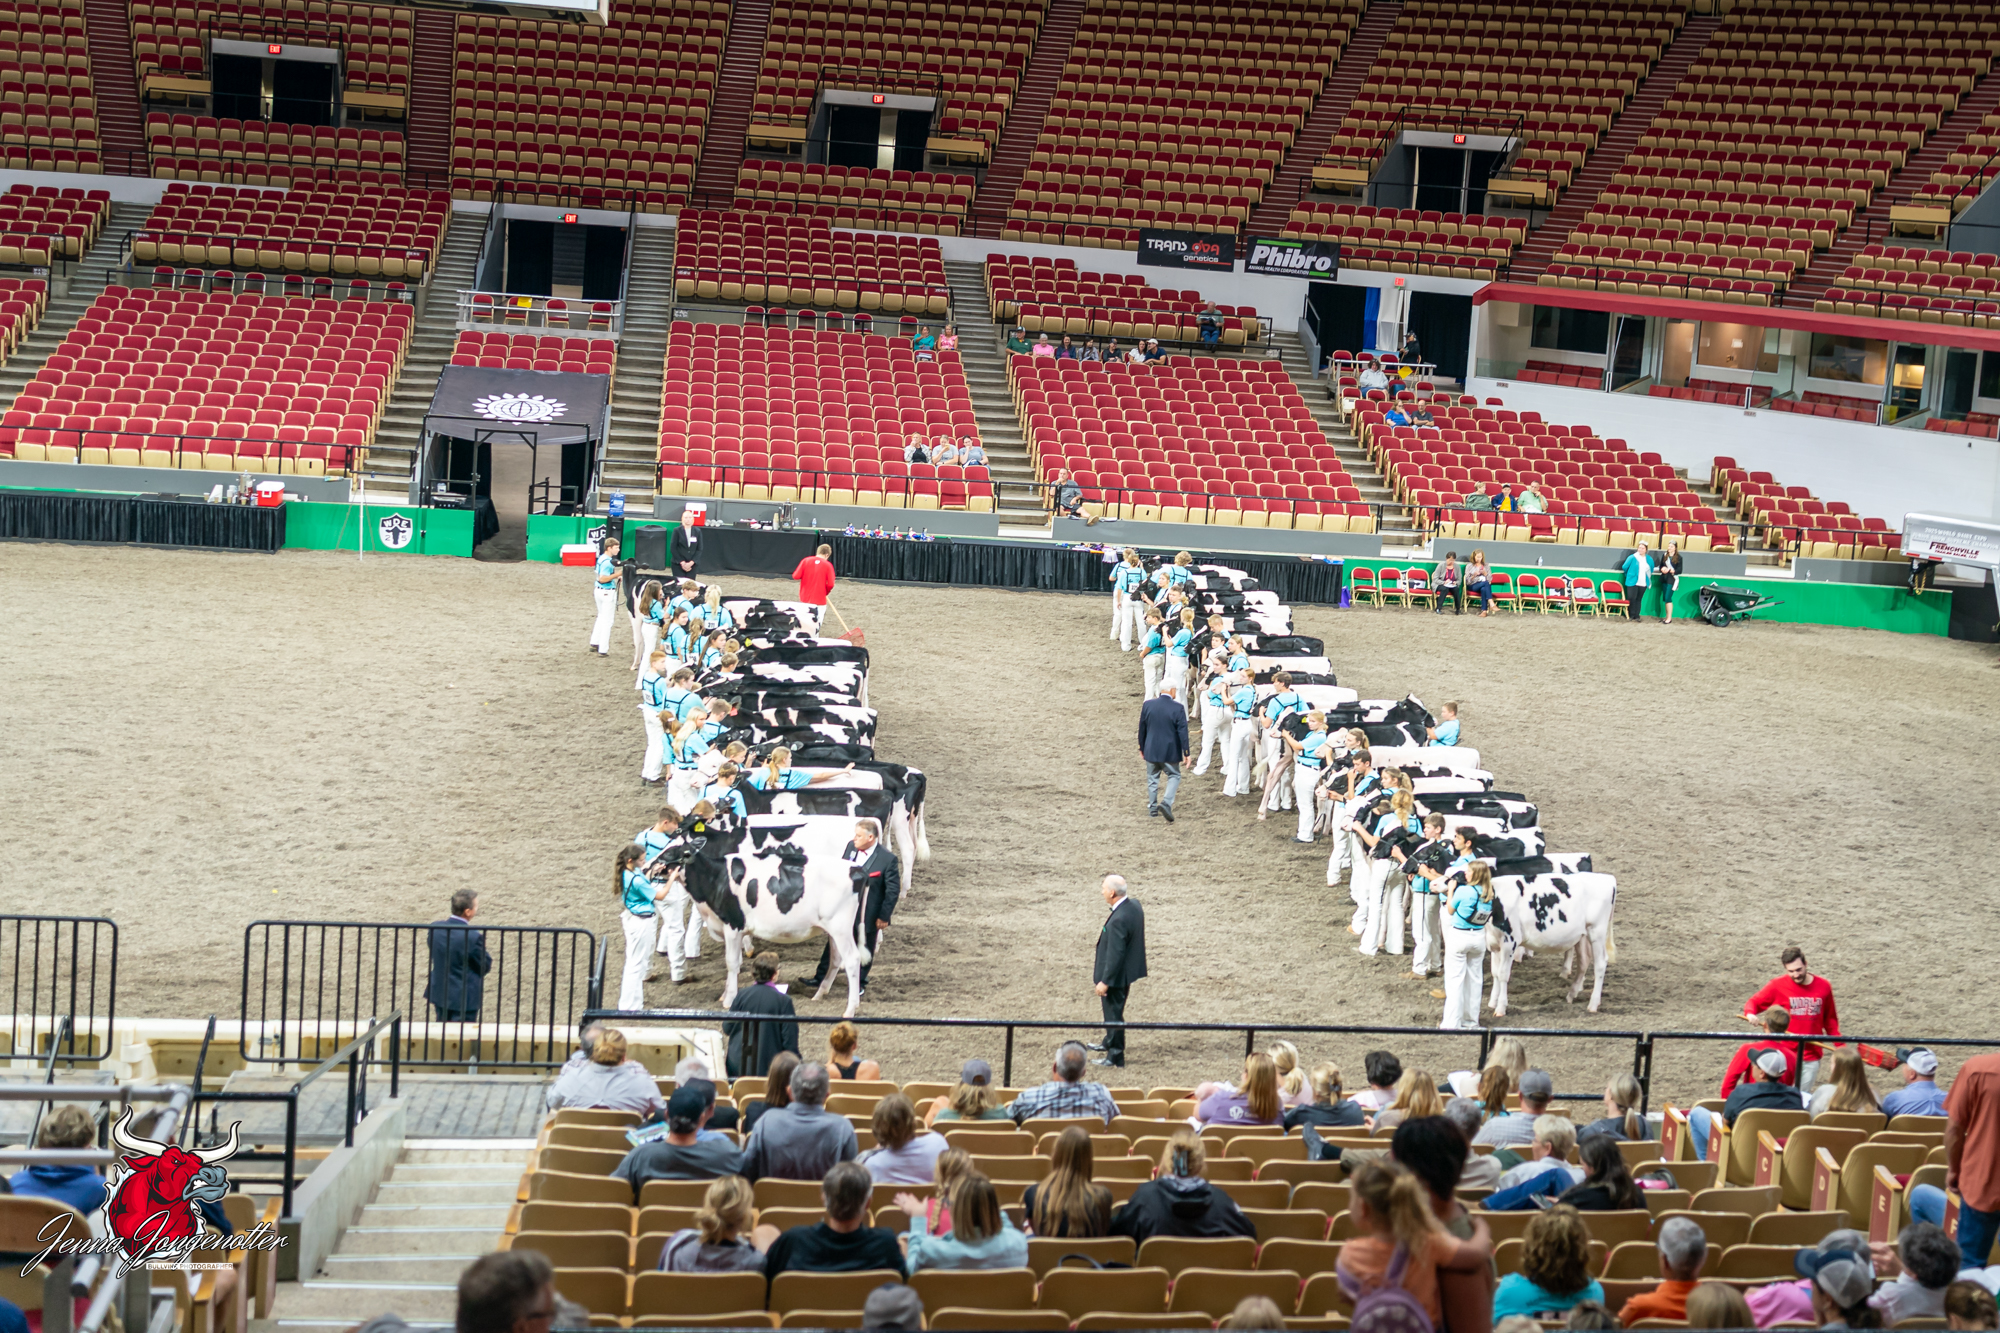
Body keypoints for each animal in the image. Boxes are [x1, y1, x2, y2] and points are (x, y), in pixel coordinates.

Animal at [660, 811, 880, 1016]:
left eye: (674, 849)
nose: (654, 863)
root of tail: (857, 869)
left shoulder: (734, 925)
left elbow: (732, 962)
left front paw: (729, 998)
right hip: (834, 930)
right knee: (836, 958)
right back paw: (819, 994)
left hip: (841, 927)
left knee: (852, 959)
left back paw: (850, 1009)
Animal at [1484, 866, 1618, 1016]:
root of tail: (1608, 878)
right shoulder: (1494, 943)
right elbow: (1495, 972)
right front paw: (1492, 1003)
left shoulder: (1509, 942)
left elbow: (1502, 974)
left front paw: (1500, 1008)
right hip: (1583, 934)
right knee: (1583, 961)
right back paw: (1571, 995)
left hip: (1597, 931)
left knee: (1600, 963)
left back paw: (1593, 1004)